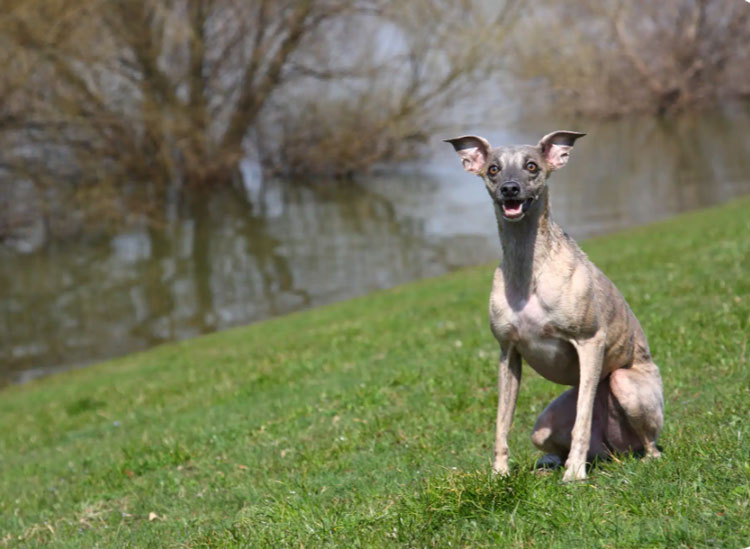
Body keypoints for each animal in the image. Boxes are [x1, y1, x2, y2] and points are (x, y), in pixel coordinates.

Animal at [446, 130, 664, 480]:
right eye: (493, 169)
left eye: (531, 166)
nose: (510, 188)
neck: (529, 270)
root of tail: (615, 451)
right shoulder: (508, 352)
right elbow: (501, 423)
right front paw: (499, 475)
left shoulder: (589, 341)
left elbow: (582, 420)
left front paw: (574, 474)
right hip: (544, 425)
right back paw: (549, 465)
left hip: (625, 384)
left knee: (648, 444)